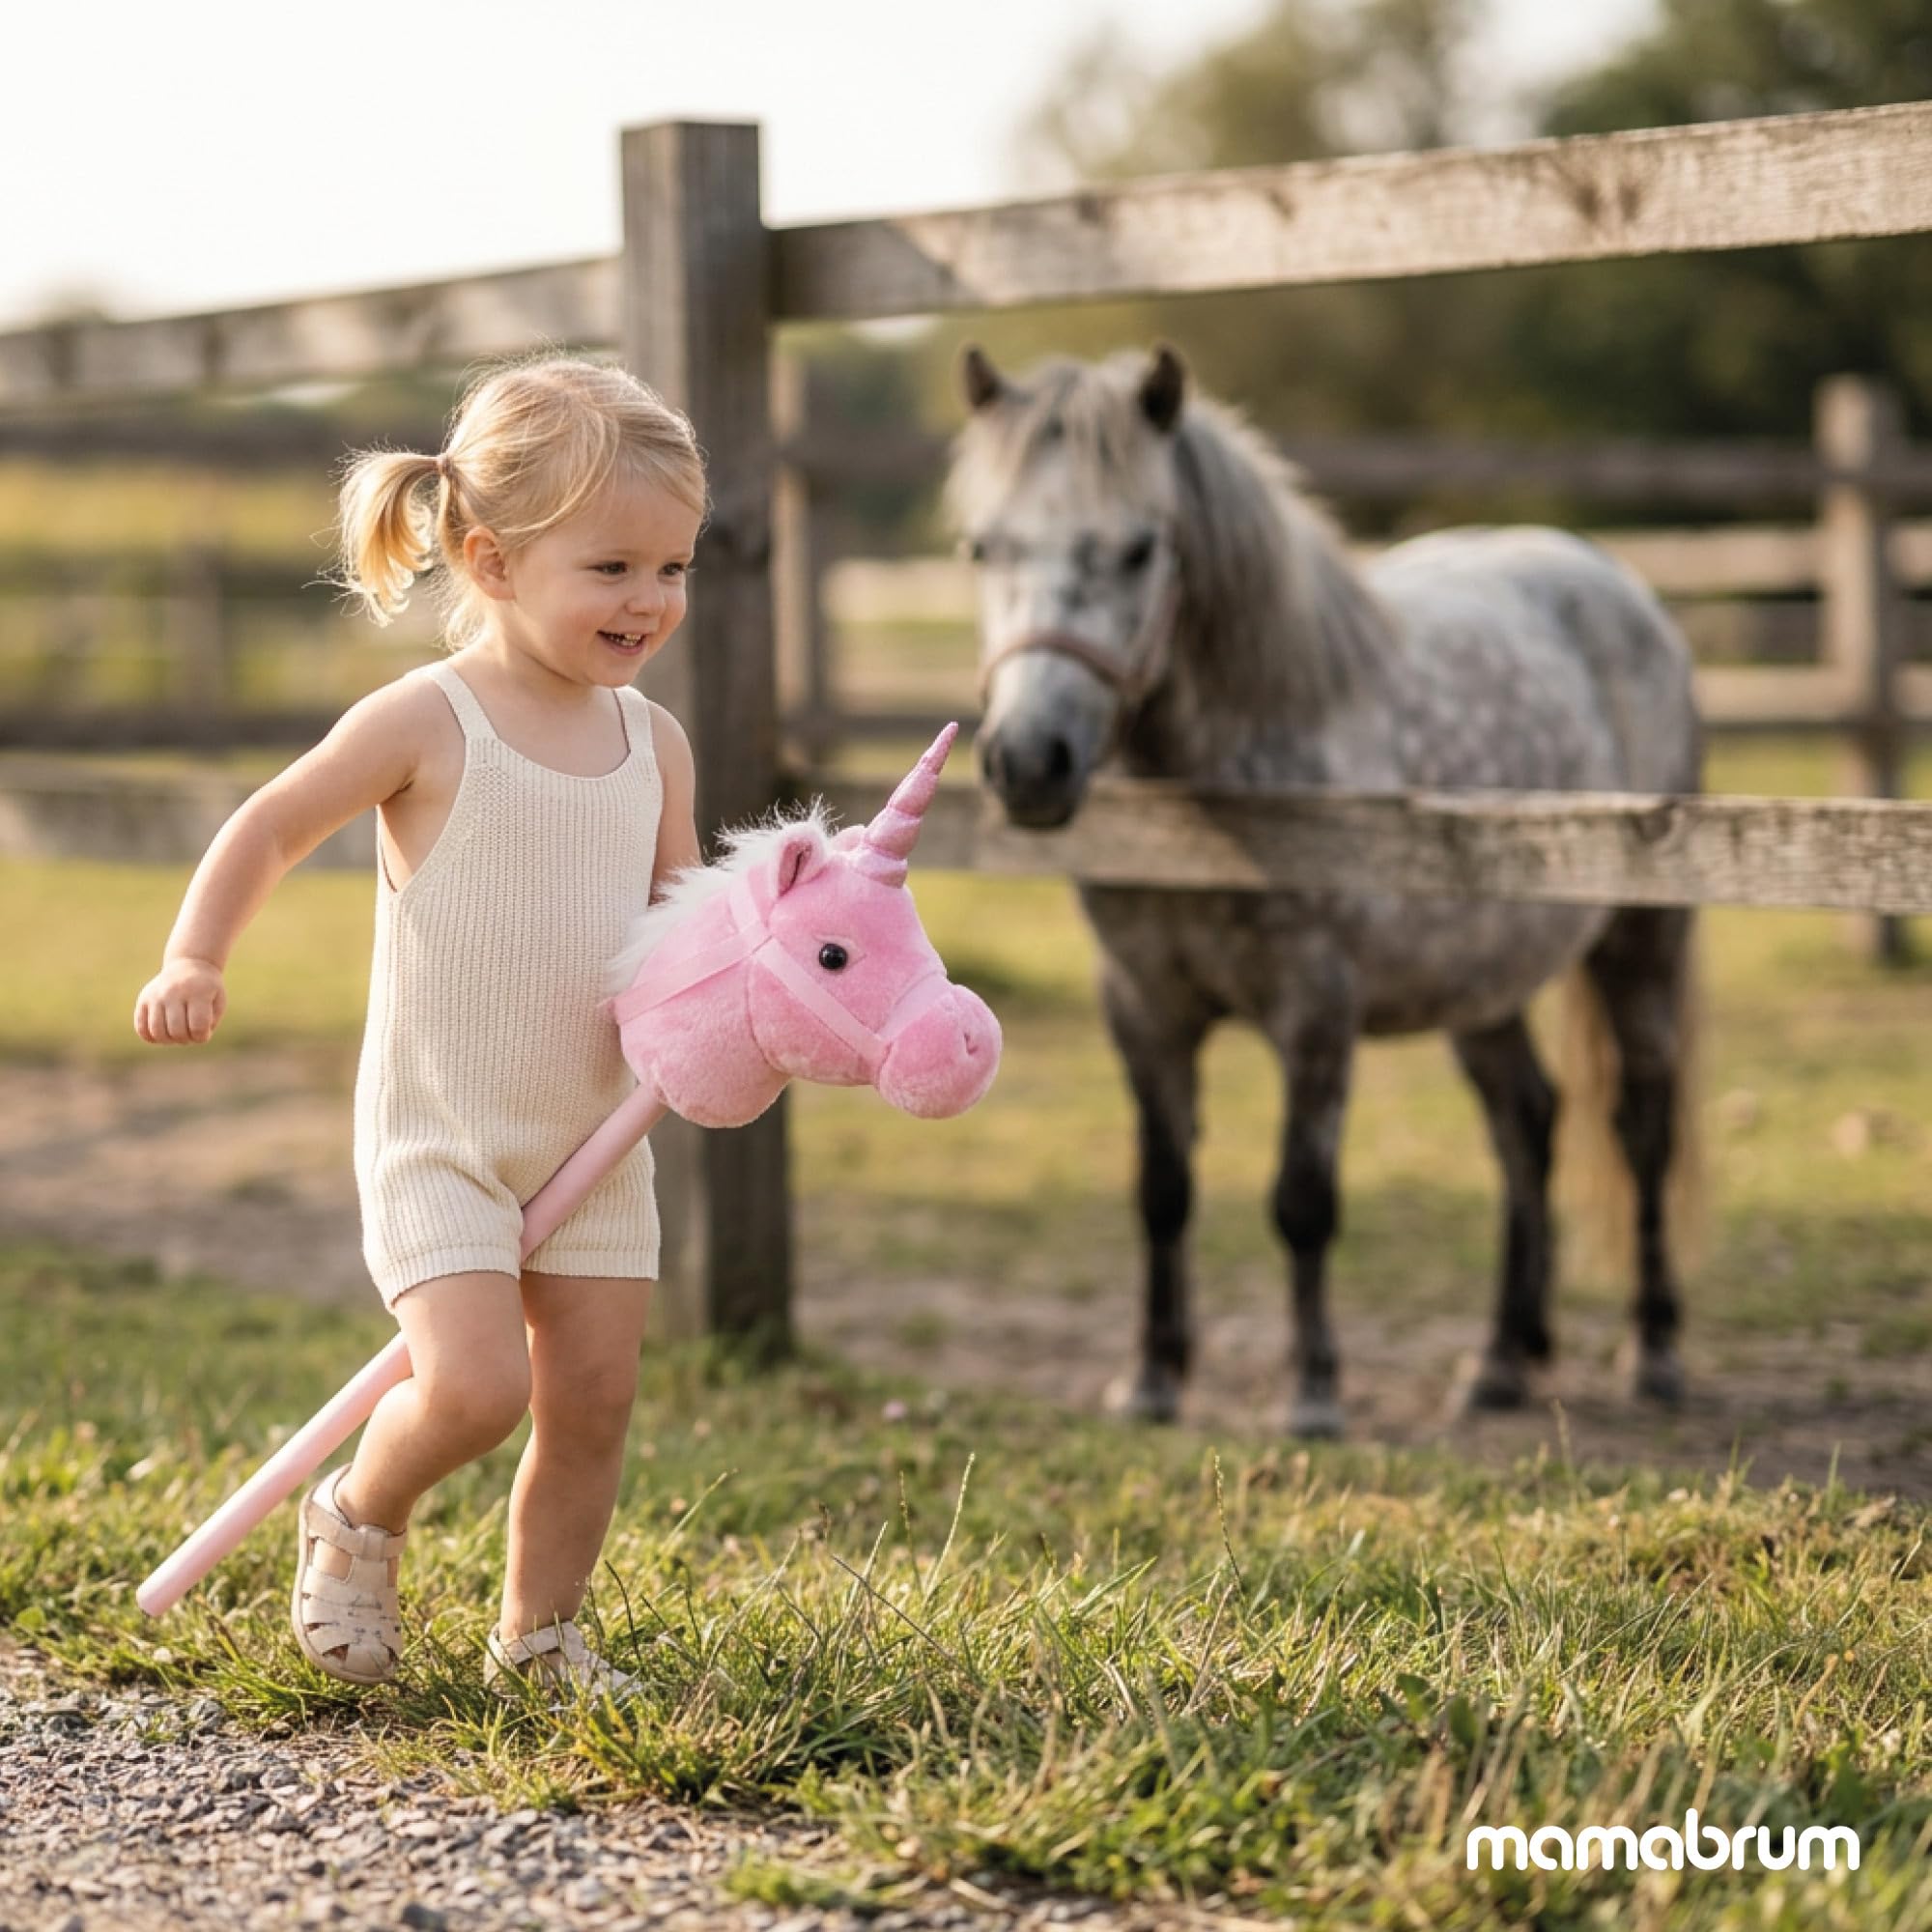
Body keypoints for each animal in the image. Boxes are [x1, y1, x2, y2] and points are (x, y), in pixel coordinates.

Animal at [944, 342, 1703, 1437]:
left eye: (1138, 550)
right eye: (981, 547)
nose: (1028, 763)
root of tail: (1615, 583)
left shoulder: (1315, 1009)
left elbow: (1300, 1200)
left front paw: (1310, 1393)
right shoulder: (1142, 1005)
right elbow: (1161, 1190)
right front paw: (1151, 1380)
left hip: (1642, 939)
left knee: (1640, 1127)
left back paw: (1653, 1351)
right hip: (1481, 979)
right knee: (1525, 1125)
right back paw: (1499, 1361)